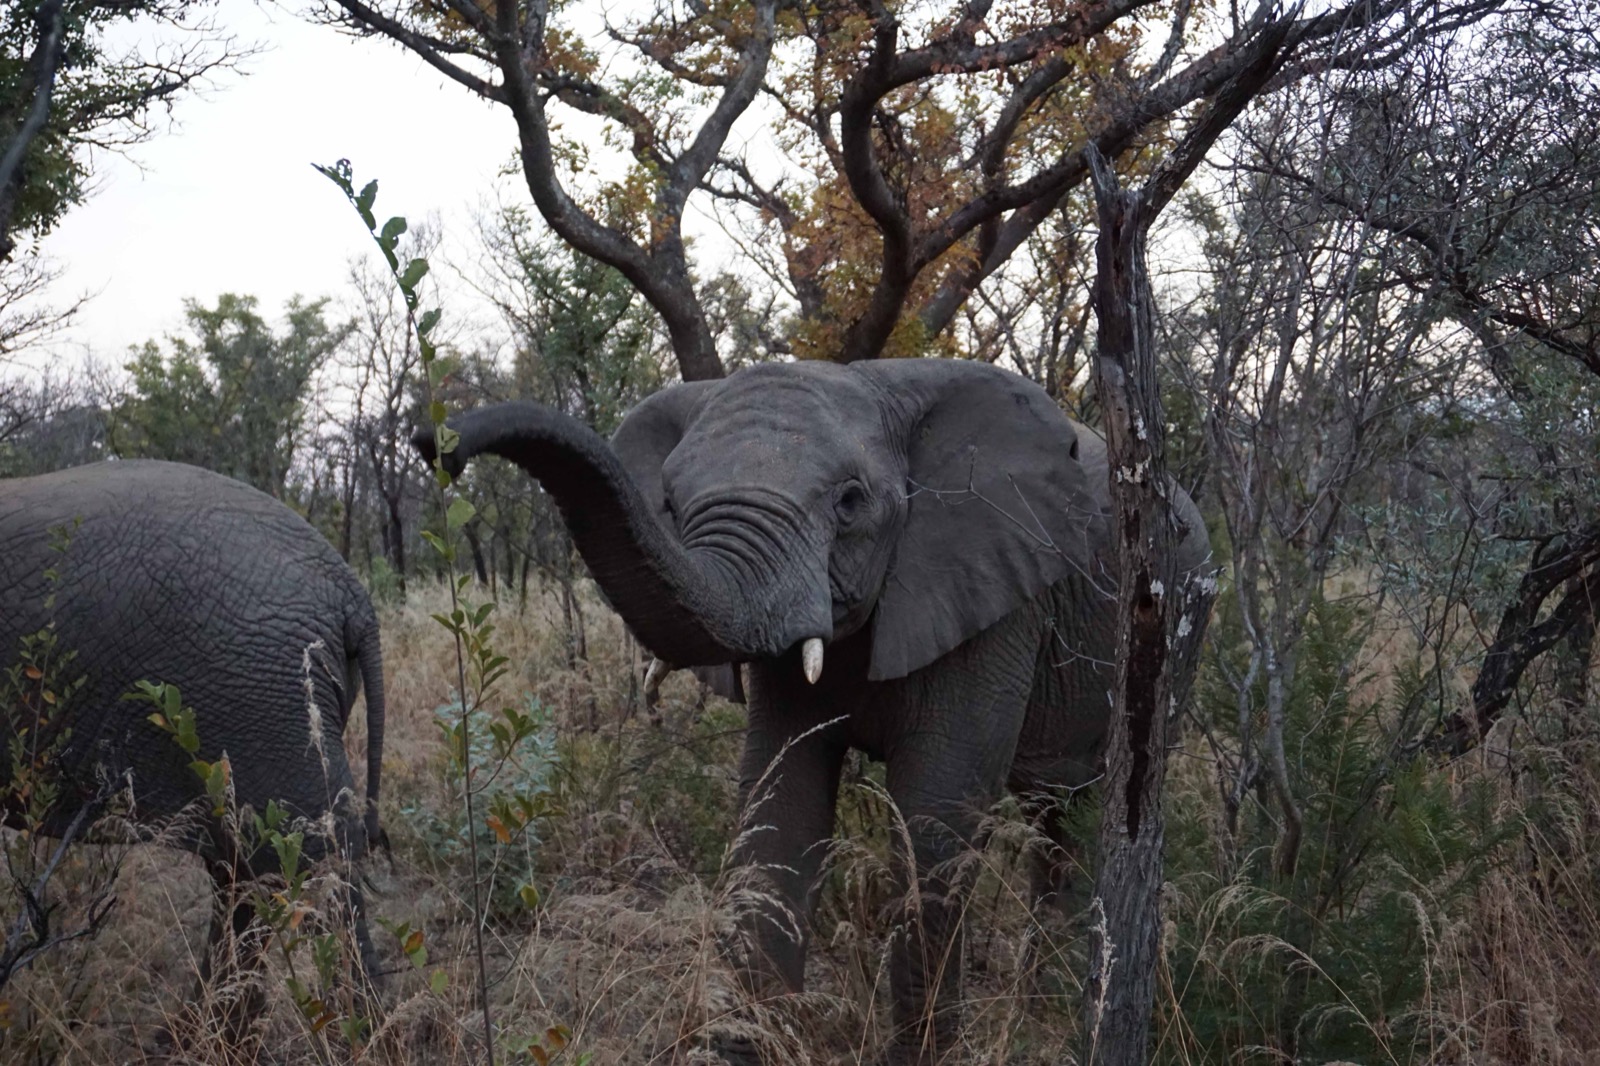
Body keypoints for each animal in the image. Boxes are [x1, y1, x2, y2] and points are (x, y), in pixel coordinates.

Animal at [417, 358, 1209, 1064]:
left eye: (851, 503)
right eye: (668, 503)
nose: (436, 442)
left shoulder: (994, 588)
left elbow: (935, 817)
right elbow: (781, 807)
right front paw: (743, 1049)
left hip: (1173, 622)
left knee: (1095, 802)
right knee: (1055, 815)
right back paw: (1046, 997)